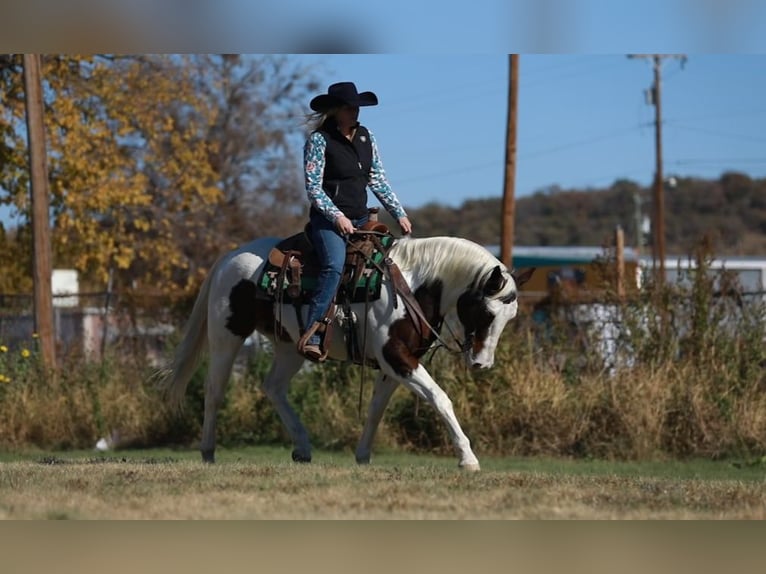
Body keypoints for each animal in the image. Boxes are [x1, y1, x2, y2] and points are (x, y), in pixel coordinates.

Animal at [158, 234, 536, 472]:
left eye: (510, 316)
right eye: (487, 313)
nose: (482, 363)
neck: (411, 287)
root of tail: (228, 258)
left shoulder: (393, 365)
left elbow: (375, 410)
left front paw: (363, 456)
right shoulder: (398, 357)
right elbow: (440, 398)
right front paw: (467, 458)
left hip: (291, 347)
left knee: (273, 387)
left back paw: (302, 447)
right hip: (227, 335)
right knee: (214, 391)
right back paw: (208, 452)